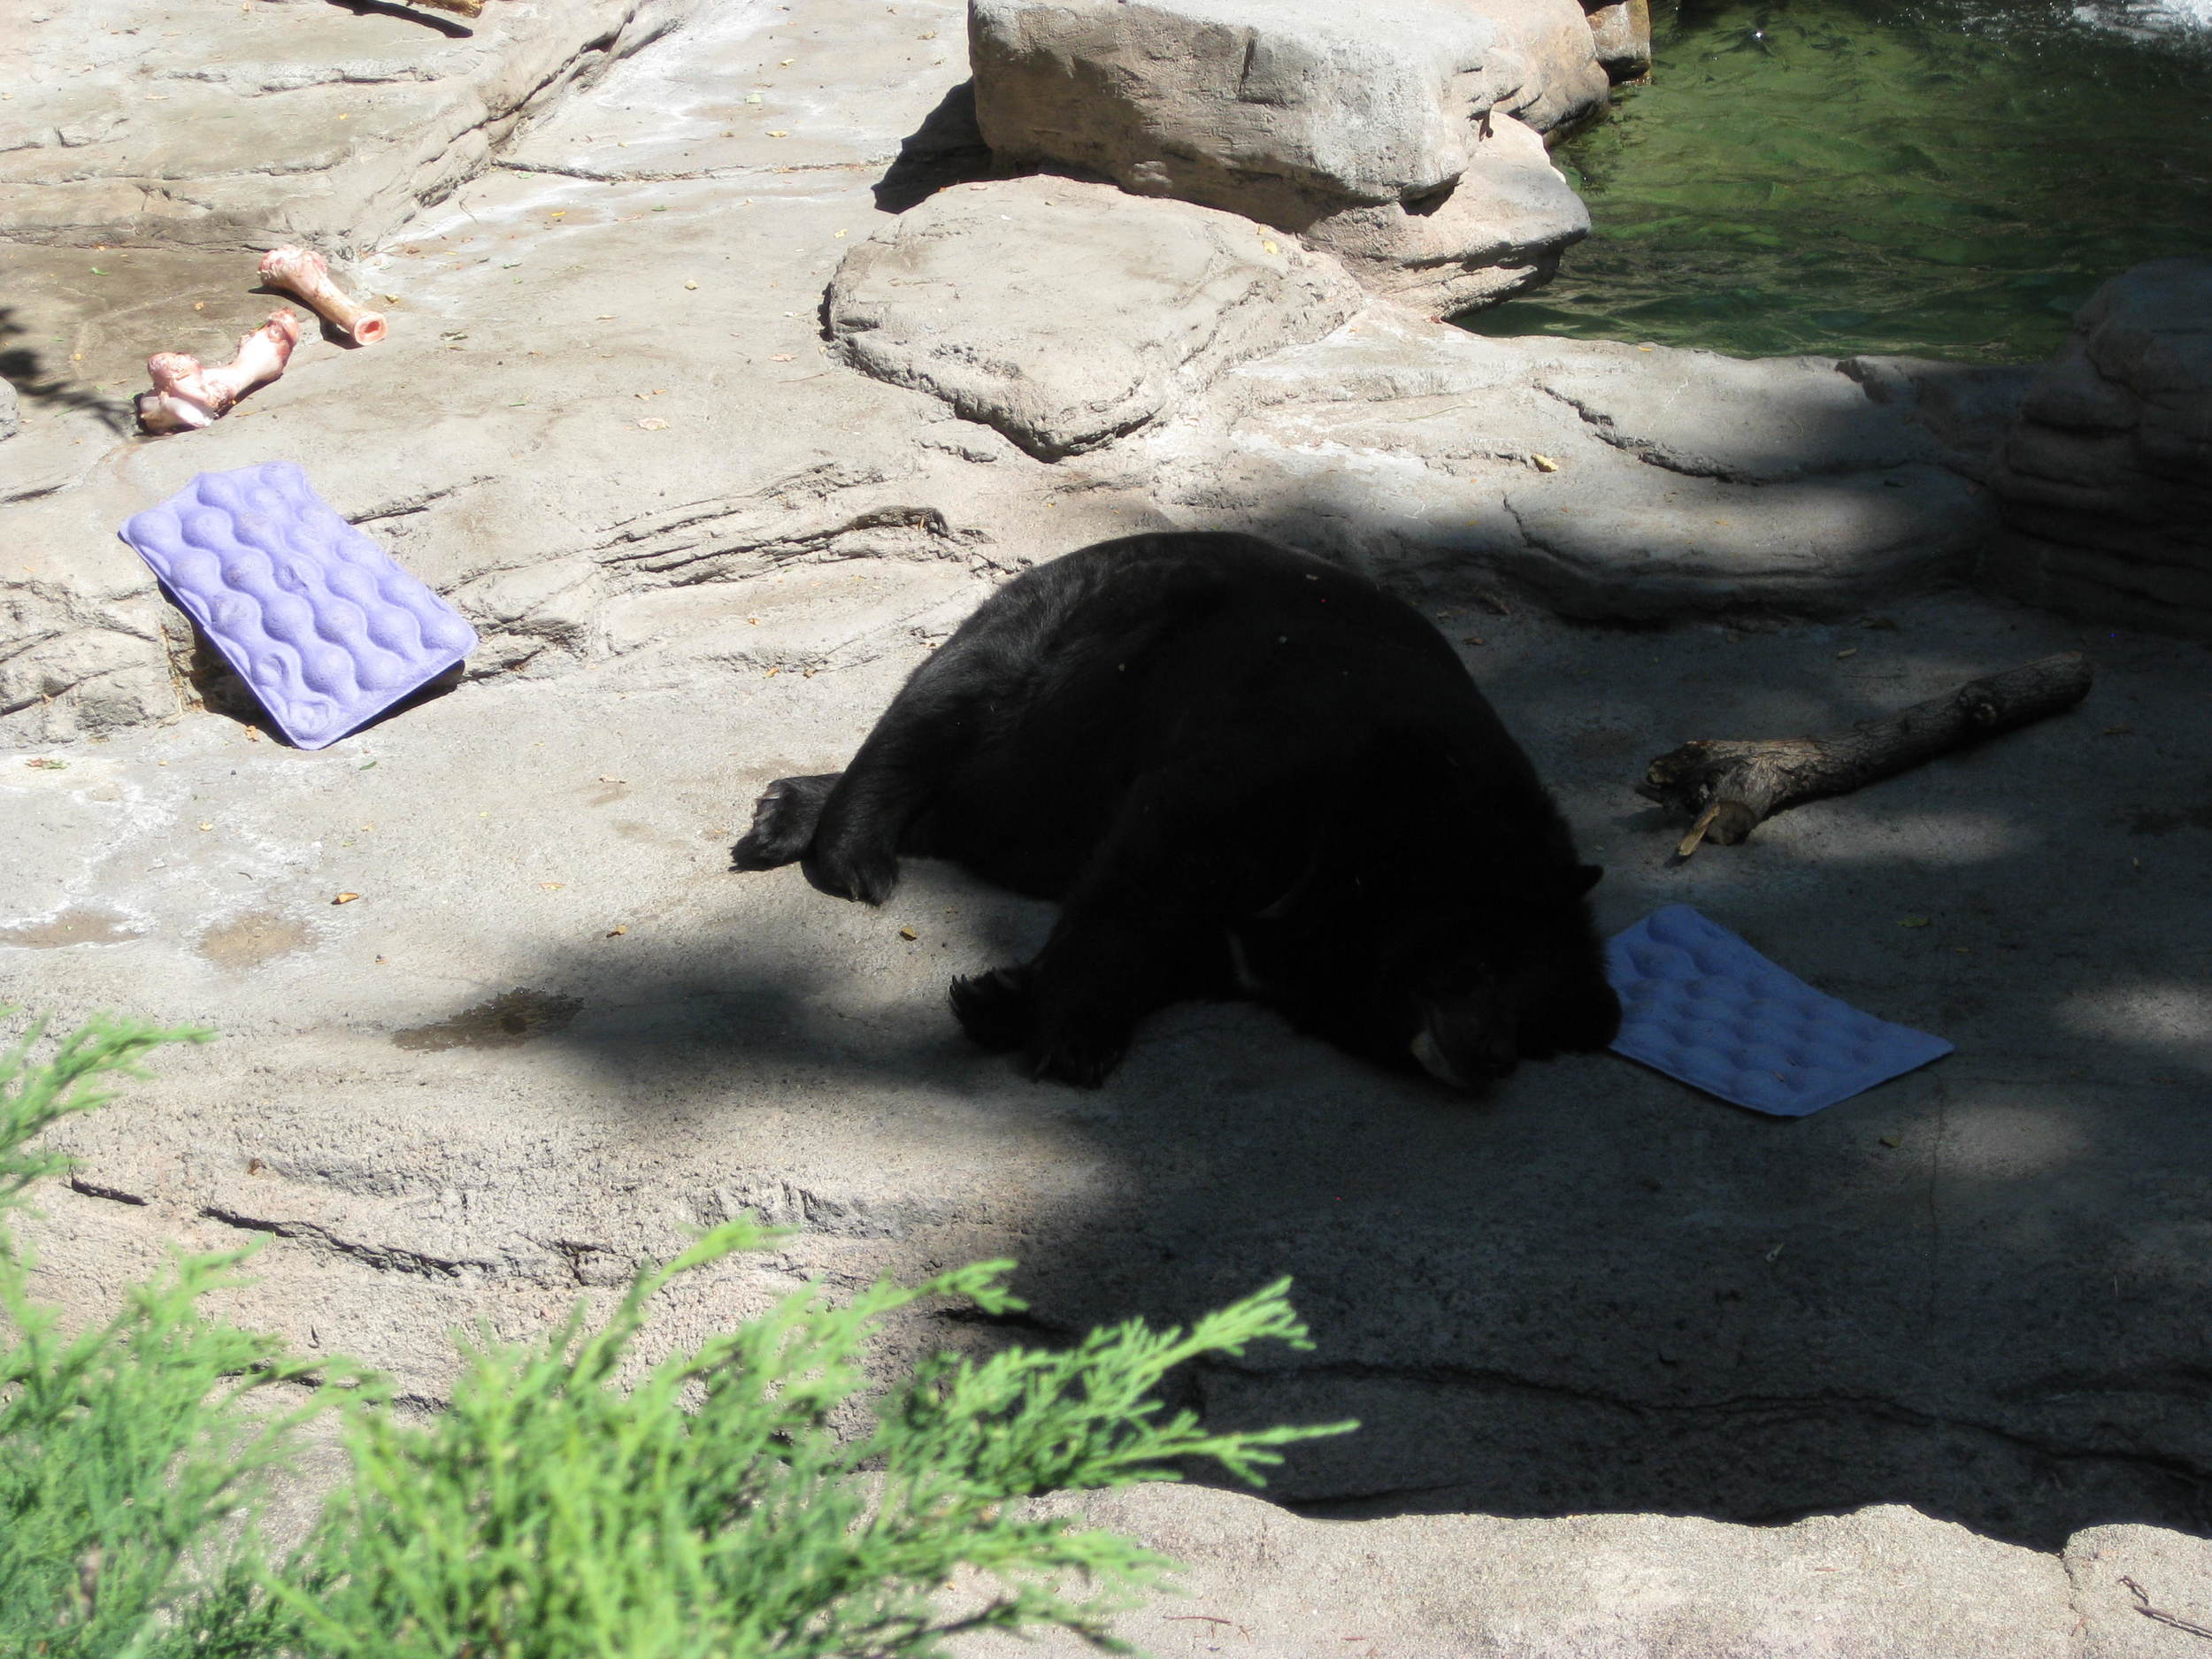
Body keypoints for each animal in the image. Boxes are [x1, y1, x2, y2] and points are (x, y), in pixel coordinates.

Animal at [731, 531, 1621, 1089]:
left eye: (1535, 1015)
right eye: (1483, 961)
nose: (1496, 1057)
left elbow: (1192, 943)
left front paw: (1003, 997)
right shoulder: (1282, 748)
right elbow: (1150, 861)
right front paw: (1072, 1034)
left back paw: (784, 811)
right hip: (1062, 634)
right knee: (939, 710)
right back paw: (850, 853)